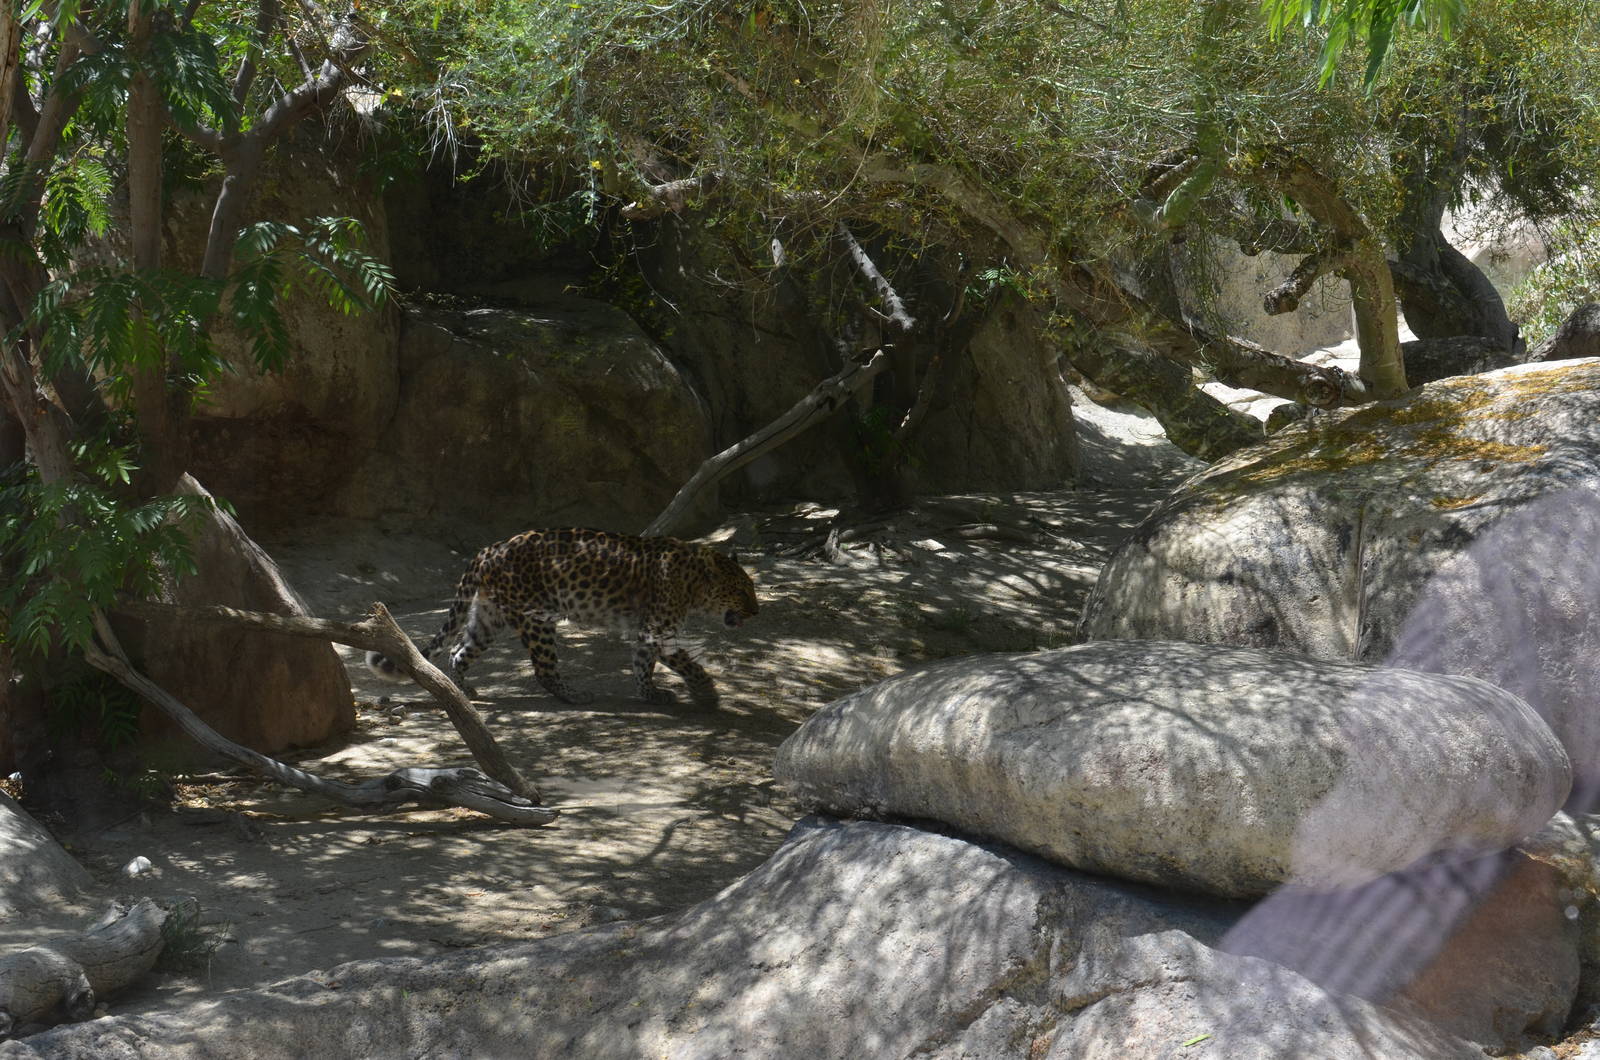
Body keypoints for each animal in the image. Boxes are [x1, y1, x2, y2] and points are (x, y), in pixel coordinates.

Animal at [366, 527, 758, 707]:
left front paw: (653, 692)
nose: (756, 611)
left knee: (458, 651)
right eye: (741, 591)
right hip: (536, 618)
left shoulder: (650, 632)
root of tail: (490, 548)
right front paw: (704, 691)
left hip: (489, 617)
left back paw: (465, 692)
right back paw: (575, 694)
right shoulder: (656, 629)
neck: (694, 584)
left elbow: (644, 663)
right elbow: (681, 661)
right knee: (544, 670)